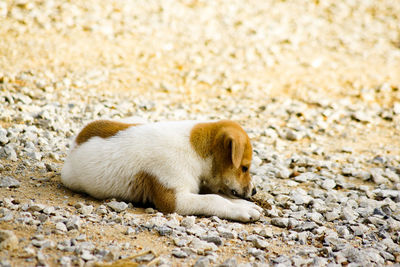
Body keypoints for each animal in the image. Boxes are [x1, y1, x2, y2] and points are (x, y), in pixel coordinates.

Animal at [61, 119, 262, 222]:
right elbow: (213, 199)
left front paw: (243, 204)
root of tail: (75, 143)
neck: (195, 151)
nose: (254, 191)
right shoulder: (174, 200)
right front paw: (241, 209)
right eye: (245, 168)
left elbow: (219, 195)